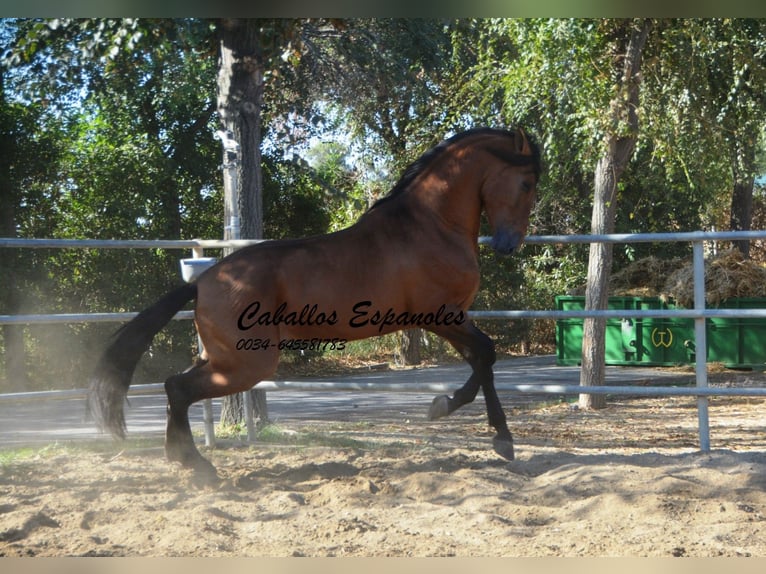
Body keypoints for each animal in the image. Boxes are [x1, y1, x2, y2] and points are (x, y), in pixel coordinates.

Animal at [88, 128, 540, 480]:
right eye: (527, 184)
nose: (509, 245)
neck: (430, 226)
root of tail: (202, 281)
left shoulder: (453, 319)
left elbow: (480, 362)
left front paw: (450, 410)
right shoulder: (443, 317)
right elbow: (486, 354)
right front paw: (494, 435)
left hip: (224, 357)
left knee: (174, 385)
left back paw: (184, 460)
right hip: (247, 363)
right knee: (178, 388)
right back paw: (199, 469)